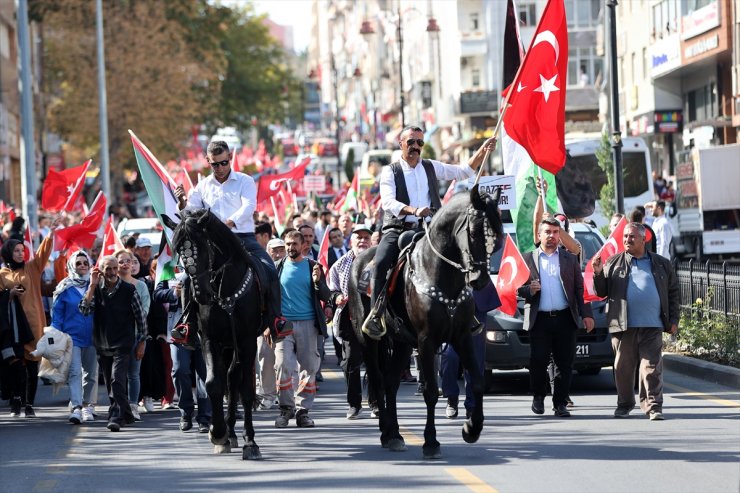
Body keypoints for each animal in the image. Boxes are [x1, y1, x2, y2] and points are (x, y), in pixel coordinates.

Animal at [162, 209, 264, 460]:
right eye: (180, 252)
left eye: (204, 247)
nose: (202, 295)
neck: (224, 290)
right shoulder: (210, 340)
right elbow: (212, 384)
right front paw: (218, 433)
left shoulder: (247, 341)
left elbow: (246, 390)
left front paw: (250, 442)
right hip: (227, 345)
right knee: (229, 379)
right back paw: (230, 433)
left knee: (235, 379)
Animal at [348, 184, 502, 458]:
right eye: (474, 232)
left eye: (495, 235)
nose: (480, 279)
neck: (442, 275)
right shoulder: (427, 340)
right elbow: (430, 391)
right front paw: (431, 441)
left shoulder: (462, 337)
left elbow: (478, 382)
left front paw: (471, 429)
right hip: (367, 340)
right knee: (377, 379)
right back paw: (386, 431)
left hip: (401, 342)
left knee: (390, 383)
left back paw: (395, 435)